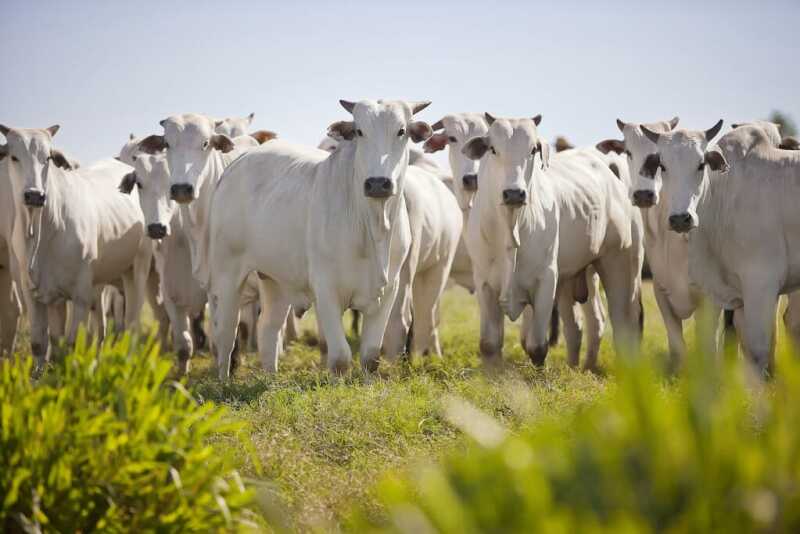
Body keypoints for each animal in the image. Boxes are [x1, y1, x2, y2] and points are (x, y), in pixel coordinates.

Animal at [0, 124, 153, 365]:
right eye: (14, 157)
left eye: (48, 157)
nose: (34, 195)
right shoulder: (36, 294)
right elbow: (43, 344)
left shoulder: (80, 295)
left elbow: (71, 345)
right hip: (100, 282)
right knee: (100, 329)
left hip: (138, 268)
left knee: (131, 325)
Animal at [198, 99, 432, 377]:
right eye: (359, 131)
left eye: (401, 131)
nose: (377, 183)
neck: (373, 228)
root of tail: (238, 162)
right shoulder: (325, 289)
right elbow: (340, 357)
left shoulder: (388, 290)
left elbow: (370, 357)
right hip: (227, 274)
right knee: (225, 334)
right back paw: (224, 380)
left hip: (275, 279)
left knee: (268, 329)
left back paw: (271, 378)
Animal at [463, 114, 643, 367]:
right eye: (493, 149)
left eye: (532, 150)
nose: (514, 193)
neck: (510, 227)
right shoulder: (484, 282)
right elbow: (489, 345)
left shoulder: (547, 279)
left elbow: (537, 347)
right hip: (578, 276)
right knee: (583, 325)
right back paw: (581, 367)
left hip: (621, 265)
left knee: (623, 324)